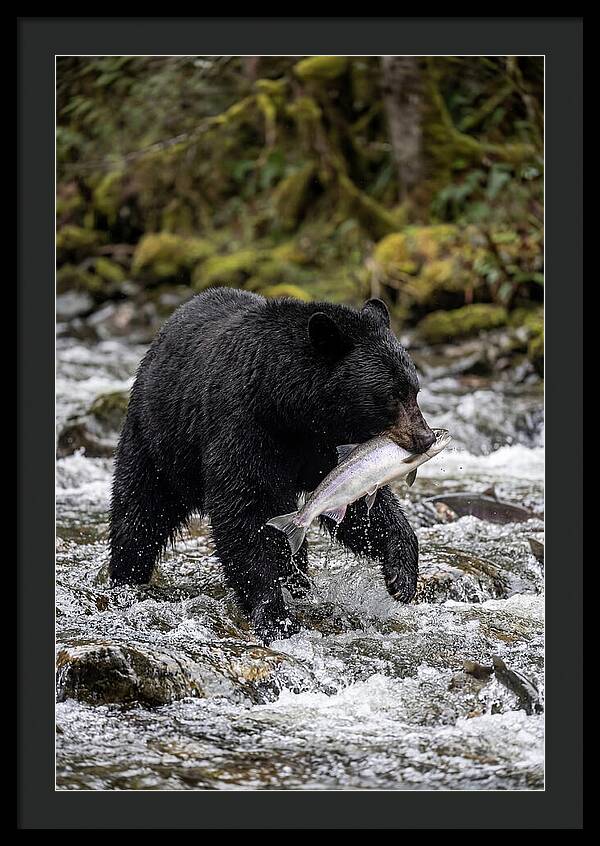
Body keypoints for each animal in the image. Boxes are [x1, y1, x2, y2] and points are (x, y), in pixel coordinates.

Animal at [109, 288, 435, 642]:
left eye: (414, 390)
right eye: (391, 395)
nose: (426, 438)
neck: (288, 407)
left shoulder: (326, 446)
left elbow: (357, 503)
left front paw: (401, 576)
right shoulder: (244, 427)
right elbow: (243, 512)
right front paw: (274, 615)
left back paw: (299, 582)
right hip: (159, 439)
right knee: (139, 511)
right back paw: (125, 578)